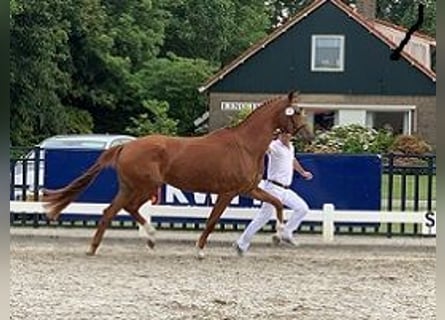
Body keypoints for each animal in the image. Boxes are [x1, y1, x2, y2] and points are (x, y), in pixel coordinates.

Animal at [42, 90, 312, 258]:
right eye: (296, 111)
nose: (308, 135)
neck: (245, 145)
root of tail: (126, 146)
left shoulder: (248, 189)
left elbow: (276, 203)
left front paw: (280, 234)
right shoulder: (228, 192)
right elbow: (212, 220)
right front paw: (200, 250)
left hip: (131, 187)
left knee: (113, 211)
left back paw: (110, 245)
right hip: (145, 186)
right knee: (124, 209)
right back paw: (142, 238)